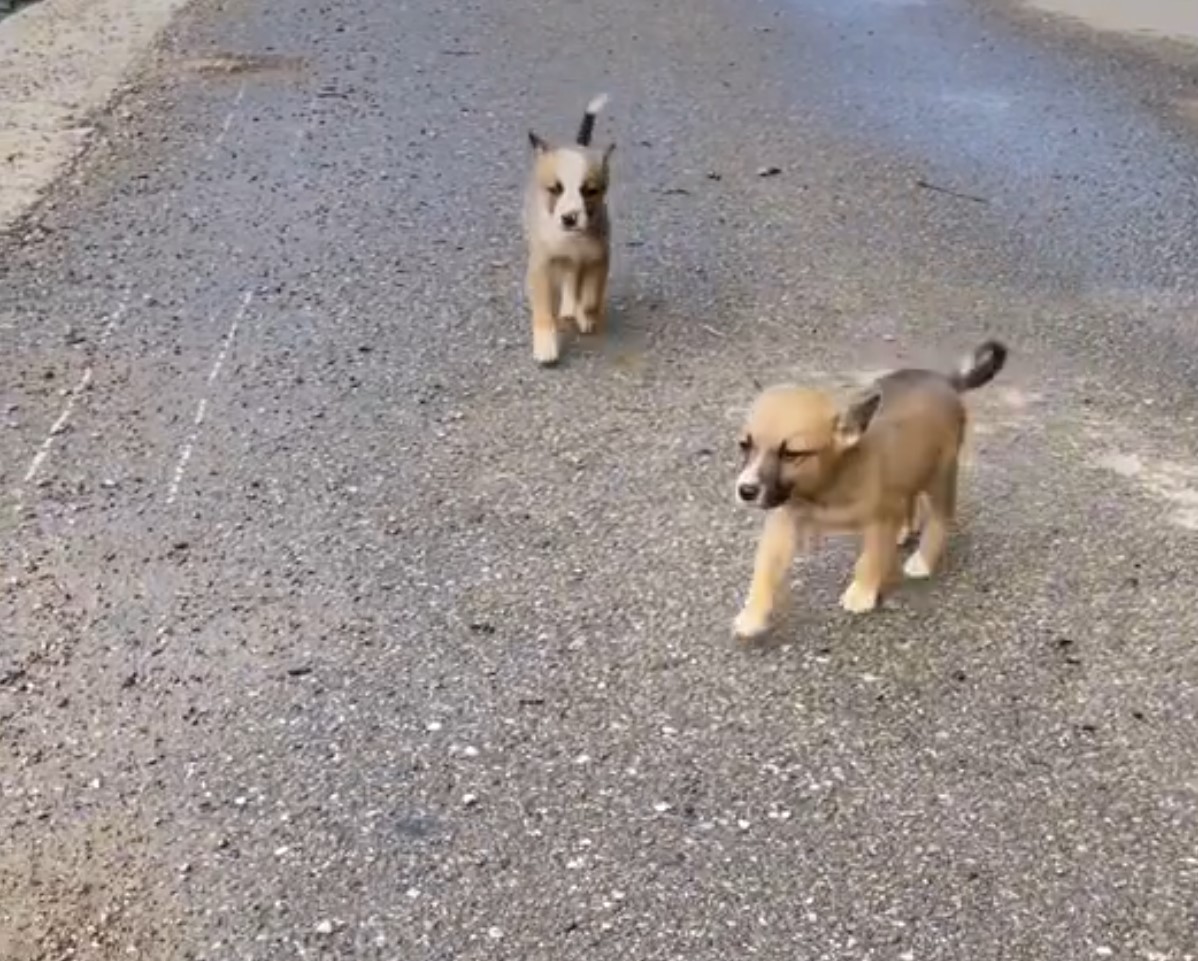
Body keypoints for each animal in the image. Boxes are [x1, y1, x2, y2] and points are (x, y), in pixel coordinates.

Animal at [524, 94, 618, 364]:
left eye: (590, 191)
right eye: (555, 189)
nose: (569, 218)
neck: (573, 239)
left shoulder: (599, 258)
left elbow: (590, 295)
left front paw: (584, 313)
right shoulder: (541, 264)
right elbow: (543, 308)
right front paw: (545, 346)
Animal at [728, 337, 1011, 637]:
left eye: (792, 454)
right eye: (744, 445)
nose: (746, 491)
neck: (825, 487)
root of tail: (946, 380)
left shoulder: (879, 519)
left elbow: (871, 559)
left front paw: (861, 593)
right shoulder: (783, 522)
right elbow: (764, 570)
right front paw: (753, 614)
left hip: (941, 473)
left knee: (939, 517)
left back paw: (923, 560)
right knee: (908, 497)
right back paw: (904, 529)